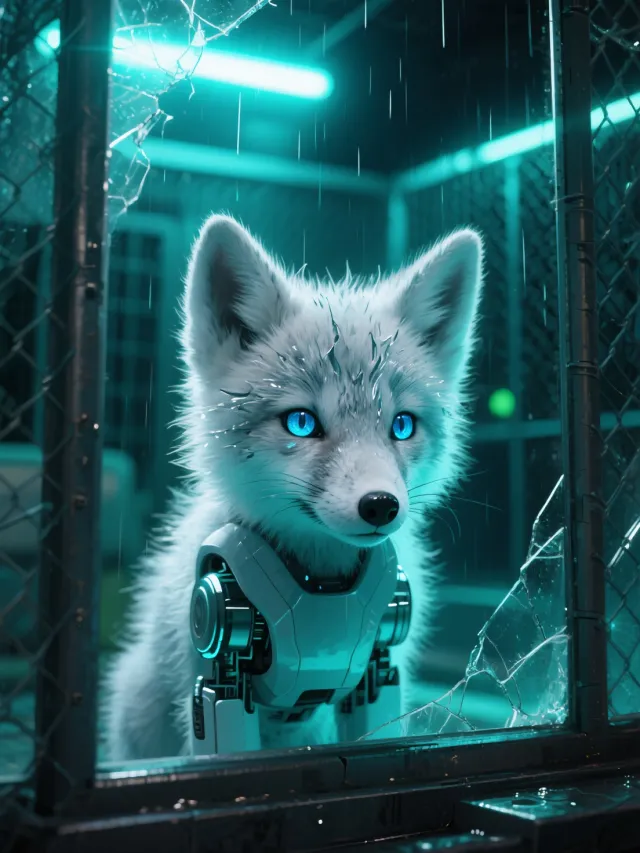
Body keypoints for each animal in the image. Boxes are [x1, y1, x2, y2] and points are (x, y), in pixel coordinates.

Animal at [102, 213, 484, 761]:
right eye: (302, 423)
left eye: (402, 426)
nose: (381, 506)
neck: (321, 581)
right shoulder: (218, 656)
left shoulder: (381, 667)